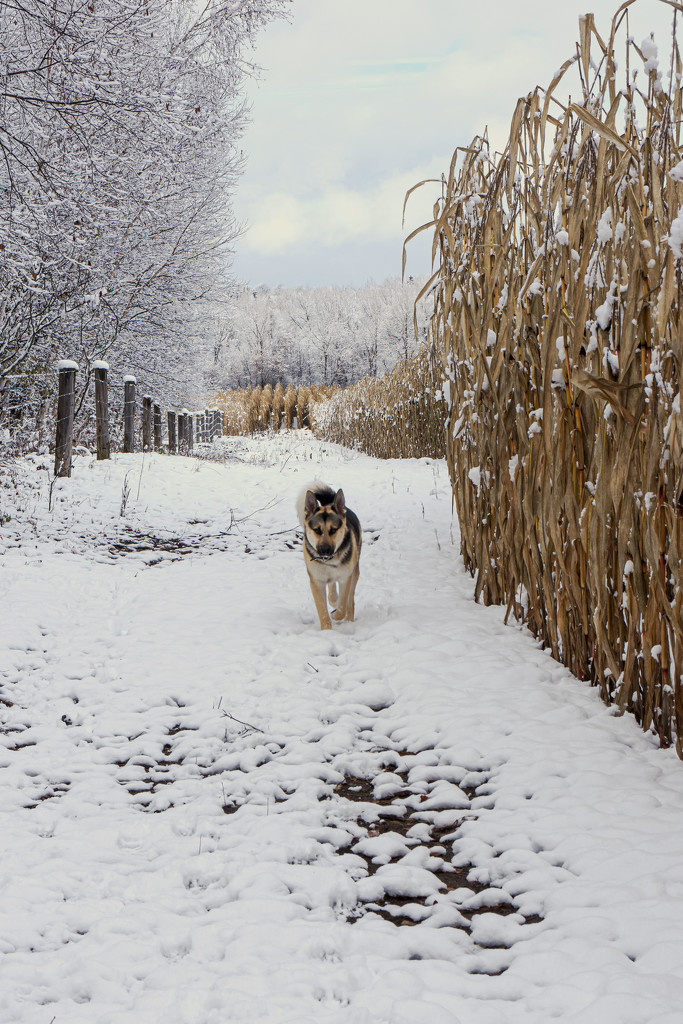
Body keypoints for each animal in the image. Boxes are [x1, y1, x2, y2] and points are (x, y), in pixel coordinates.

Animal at [299, 483, 362, 626]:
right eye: (317, 530)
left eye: (333, 530)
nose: (325, 551)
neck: (329, 561)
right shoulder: (316, 581)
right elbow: (322, 611)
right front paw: (326, 629)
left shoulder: (346, 577)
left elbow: (343, 606)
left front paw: (336, 614)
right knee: (332, 588)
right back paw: (333, 599)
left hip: (354, 571)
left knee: (350, 601)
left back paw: (349, 620)